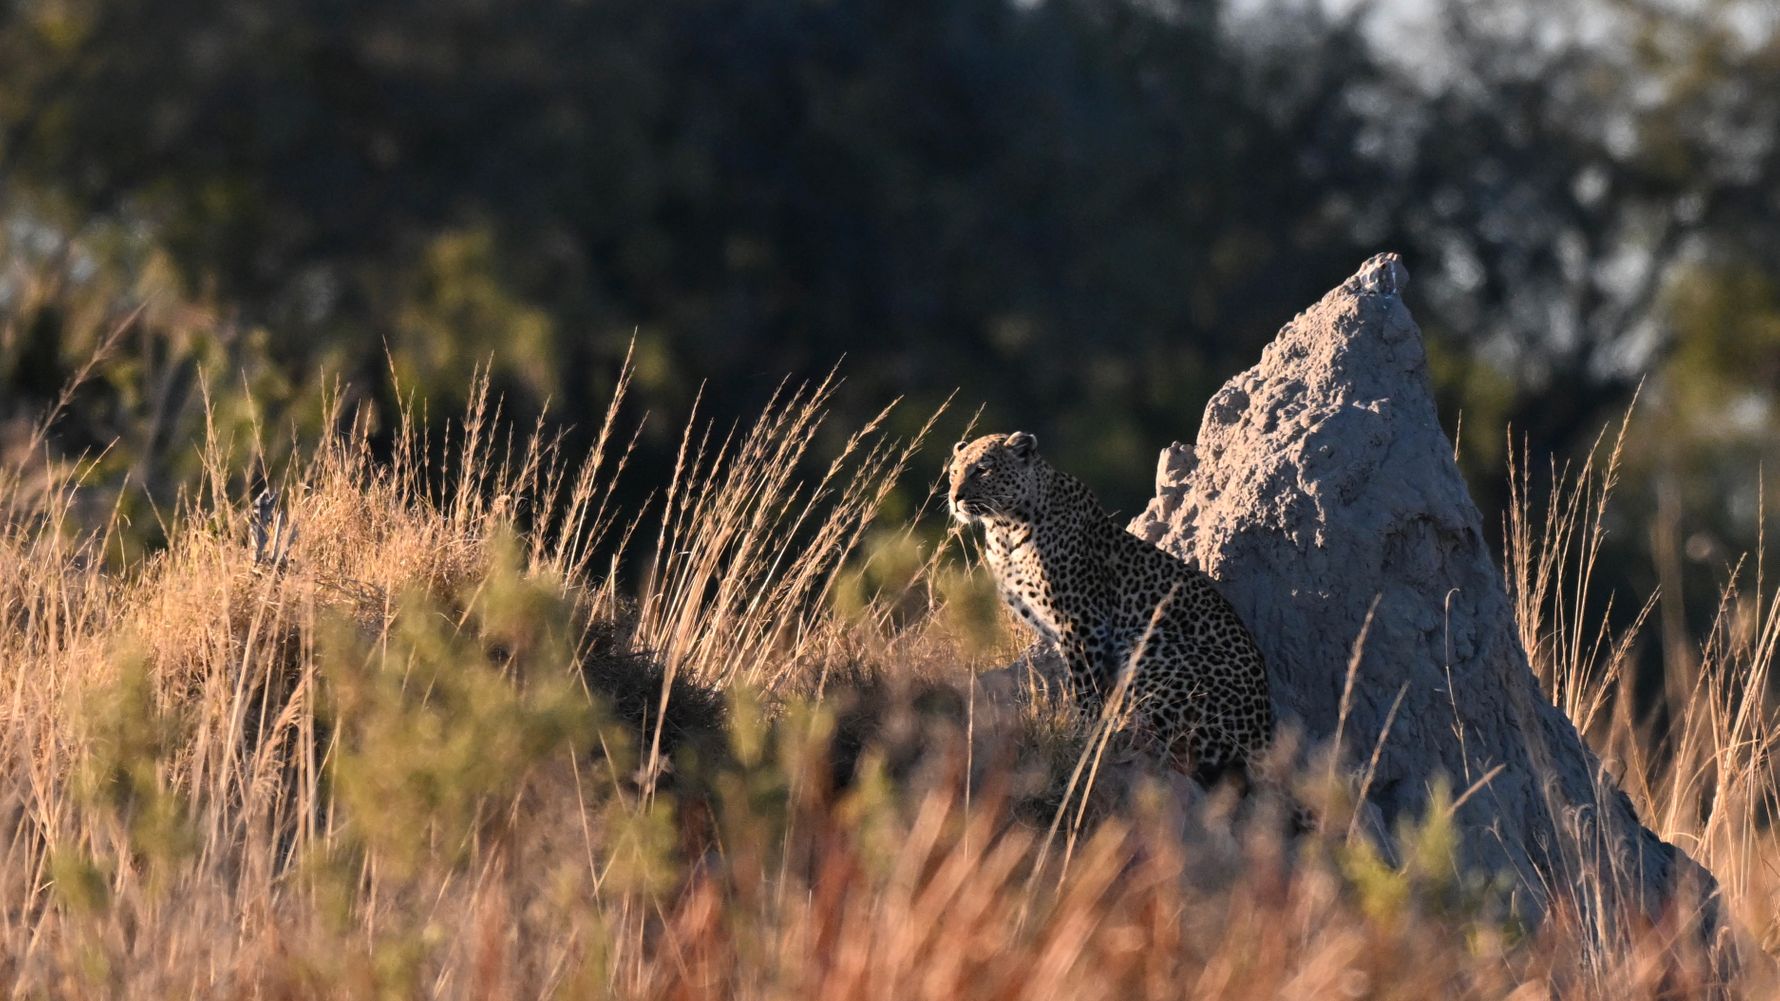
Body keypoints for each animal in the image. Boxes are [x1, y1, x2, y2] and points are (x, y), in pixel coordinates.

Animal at [949, 430, 1277, 790]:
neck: (1004, 529)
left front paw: (1083, 733)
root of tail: (1264, 736)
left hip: (1149, 645)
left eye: (982, 470)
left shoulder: (1082, 622)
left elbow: (1085, 687)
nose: (954, 497)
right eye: (953, 472)